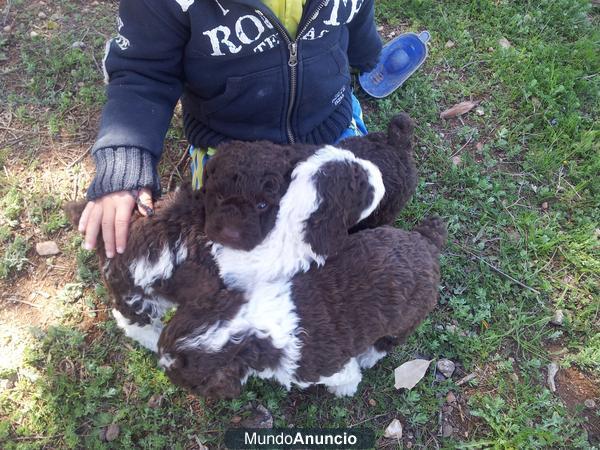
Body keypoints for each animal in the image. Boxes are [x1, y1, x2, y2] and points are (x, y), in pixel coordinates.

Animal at [157, 216, 448, 400]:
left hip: (408, 316)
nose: (164, 371)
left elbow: (347, 377)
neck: (247, 327)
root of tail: (425, 242)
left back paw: (369, 355)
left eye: (191, 382)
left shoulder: (324, 368)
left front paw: (344, 390)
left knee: (390, 340)